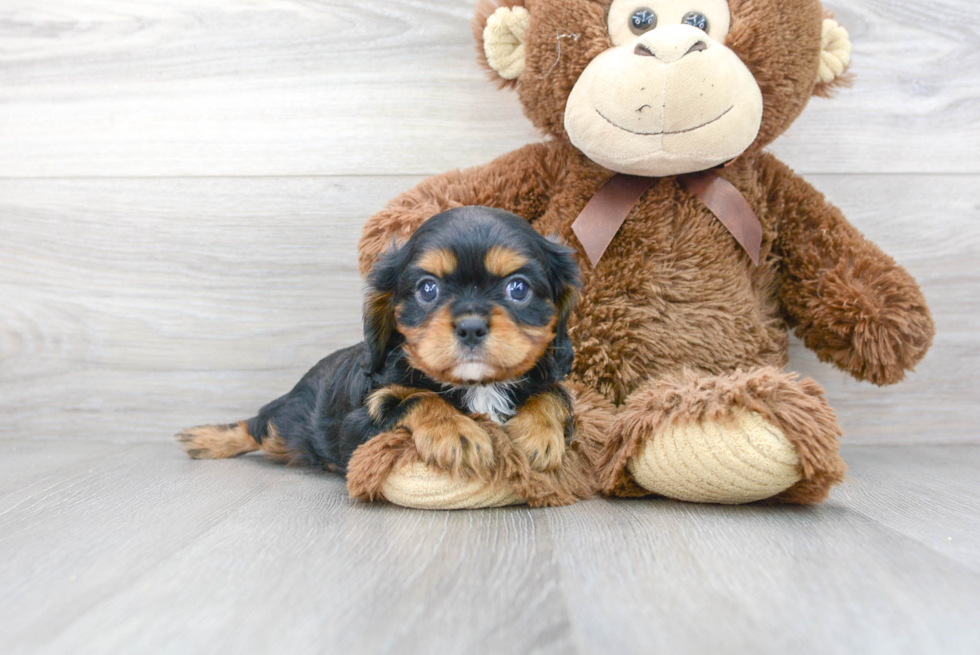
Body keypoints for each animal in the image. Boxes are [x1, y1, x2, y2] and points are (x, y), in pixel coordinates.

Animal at [178, 208, 580, 484]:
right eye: (427, 289)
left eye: (518, 288)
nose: (470, 327)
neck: (477, 385)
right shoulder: (360, 427)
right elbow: (414, 398)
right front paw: (457, 433)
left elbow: (556, 394)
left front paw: (538, 434)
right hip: (288, 422)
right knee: (257, 426)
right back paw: (206, 438)